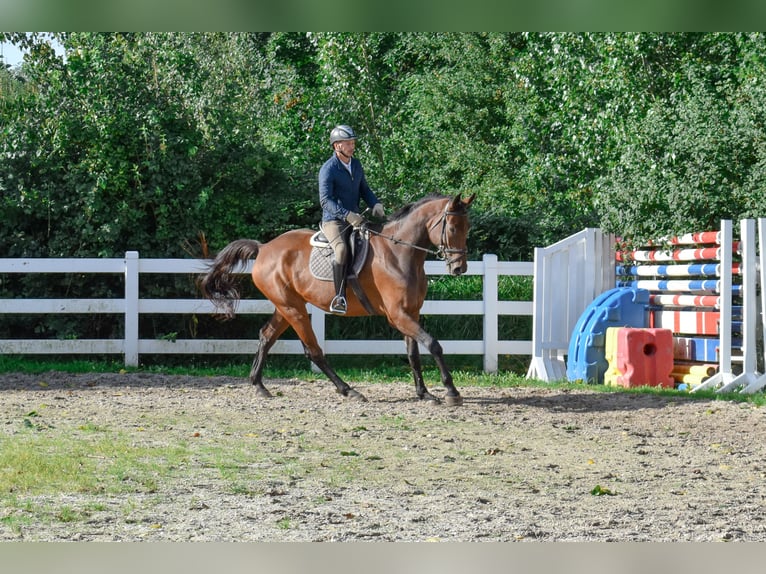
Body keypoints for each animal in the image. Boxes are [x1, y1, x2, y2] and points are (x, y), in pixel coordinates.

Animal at [198, 192, 475, 406]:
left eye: (467, 229)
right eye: (452, 228)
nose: (459, 268)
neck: (400, 253)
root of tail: (264, 247)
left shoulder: (411, 313)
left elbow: (413, 353)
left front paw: (424, 393)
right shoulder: (398, 315)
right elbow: (434, 344)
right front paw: (451, 391)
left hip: (287, 306)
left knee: (266, 336)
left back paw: (258, 385)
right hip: (293, 308)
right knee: (313, 351)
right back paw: (348, 390)